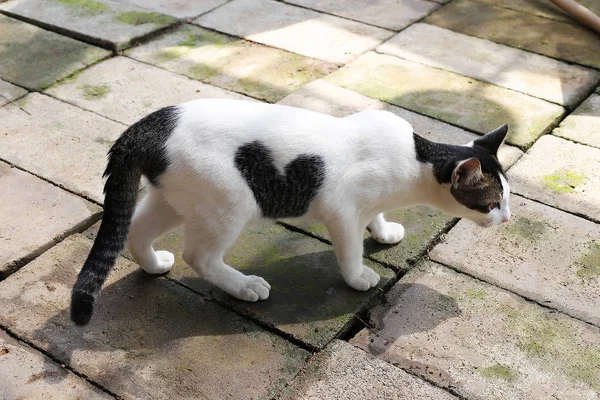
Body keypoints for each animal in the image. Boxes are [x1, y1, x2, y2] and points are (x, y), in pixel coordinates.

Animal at [70, 98, 510, 326]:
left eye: (508, 197)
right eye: (492, 203)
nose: (507, 219)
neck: (415, 158)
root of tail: (147, 126)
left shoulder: (368, 204)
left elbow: (377, 216)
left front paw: (384, 233)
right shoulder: (342, 211)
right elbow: (350, 249)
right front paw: (359, 277)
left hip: (174, 198)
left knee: (135, 230)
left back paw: (154, 264)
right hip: (229, 203)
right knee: (198, 256)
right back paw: (244, 286)